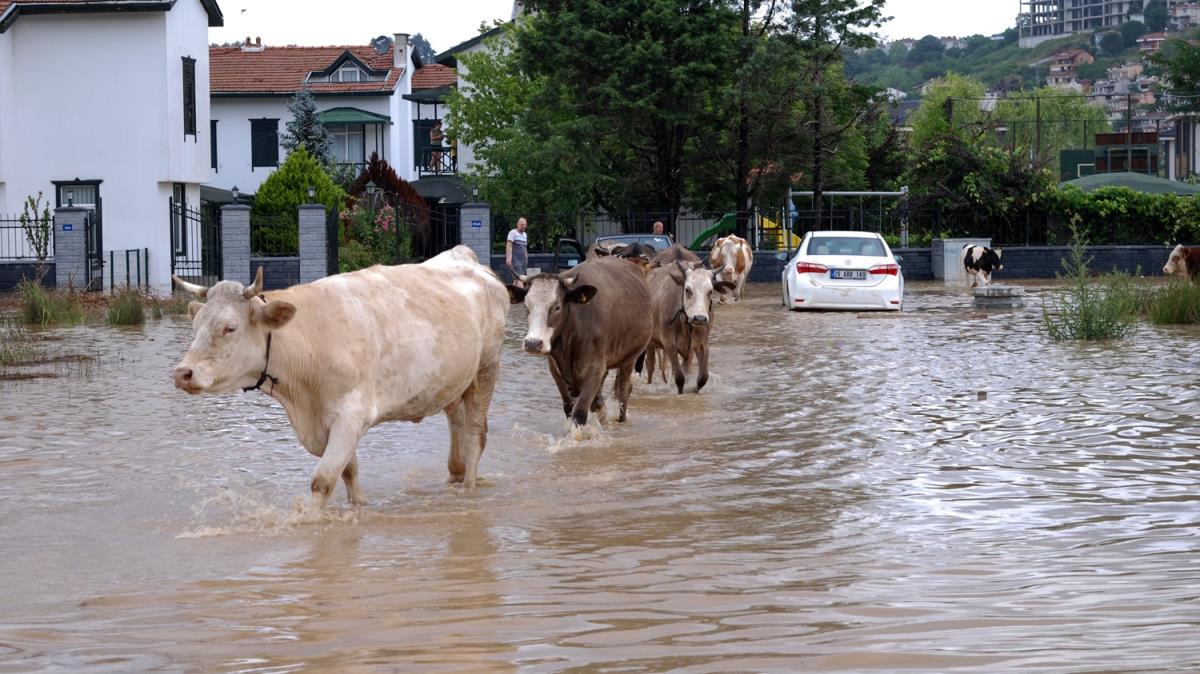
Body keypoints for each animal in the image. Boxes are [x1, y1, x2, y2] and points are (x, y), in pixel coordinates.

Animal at [171, 243, 508, 506]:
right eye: (196, 324)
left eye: (229, 327)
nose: (182, 373)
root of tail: (467, 258)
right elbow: (349, 470)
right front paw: (359, 505)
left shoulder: (351, 416)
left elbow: (323, 479)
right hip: (455, 380)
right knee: (457, 423)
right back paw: (455, 475)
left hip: (487, 367)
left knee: (474, 434)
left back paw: (468, 488)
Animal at [508, 254, 652, 426]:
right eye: (526, 306)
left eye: (557, 307)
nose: (532, 343)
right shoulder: (556, 371)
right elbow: (569, 407)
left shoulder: (594, 369)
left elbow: (580, 413)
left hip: (630, 358)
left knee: (624, 389)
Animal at [648, 257, 729, 393]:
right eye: (687, 289)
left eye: (710, 291)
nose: (700, 318)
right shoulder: (669, 344)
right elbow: (680, 378)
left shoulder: (702, 344)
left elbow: (702, 378)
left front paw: (694, 390)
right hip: (649, 343)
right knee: (650, 366)